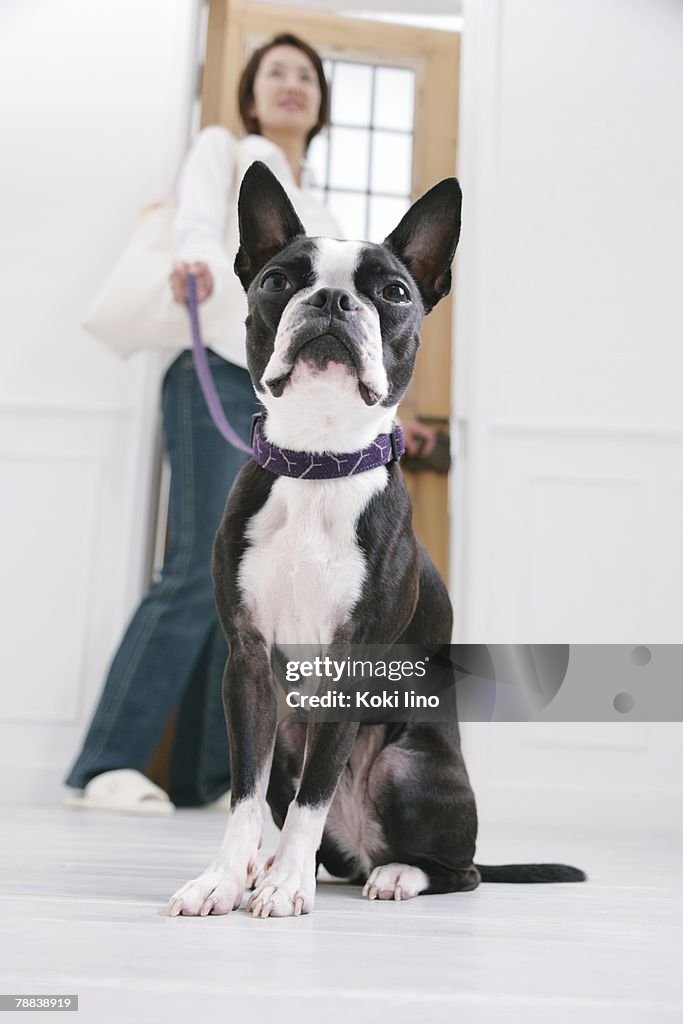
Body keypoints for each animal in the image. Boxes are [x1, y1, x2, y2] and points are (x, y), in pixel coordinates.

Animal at [166, 161, 589, 921]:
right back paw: (277, 867)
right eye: (279, 280)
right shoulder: (247, 666)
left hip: (405, 762)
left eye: (392, 291)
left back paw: (391, 874)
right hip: (291, 732)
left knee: (456, 869)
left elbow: (314, 796)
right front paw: (225, 879)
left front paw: (284, 888)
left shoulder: (348, 662)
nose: (332, 300)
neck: (318, 460)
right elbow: (246, 795)